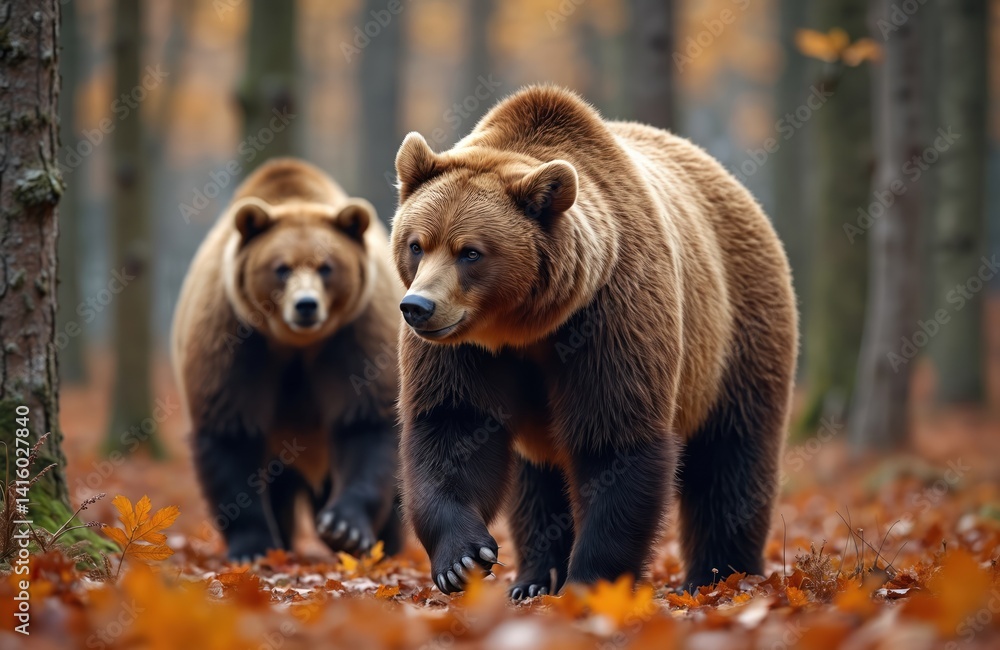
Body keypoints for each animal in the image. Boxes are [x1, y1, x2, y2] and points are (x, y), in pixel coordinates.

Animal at [171, 158, 405, 562]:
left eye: (326, 267)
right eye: (281, 268)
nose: (306, 305)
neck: (296, 343)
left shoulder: (358, 333)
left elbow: (365, 420)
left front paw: (344, 530)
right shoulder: (236, 338)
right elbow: (231, 431)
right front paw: (252, 546)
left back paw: (387, 546)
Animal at [389, 86, 798, 598]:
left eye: (471, 252)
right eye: (416, 244)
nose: (417, 306)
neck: (524, 327)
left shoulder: (609, 316)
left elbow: (614, 439)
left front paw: (591, 580)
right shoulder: (465, 352)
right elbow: (453, 425)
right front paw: (462, 558)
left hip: (737, 337)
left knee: (731, 459)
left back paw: (719, 574)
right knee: (536, 482)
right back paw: (533, 579)